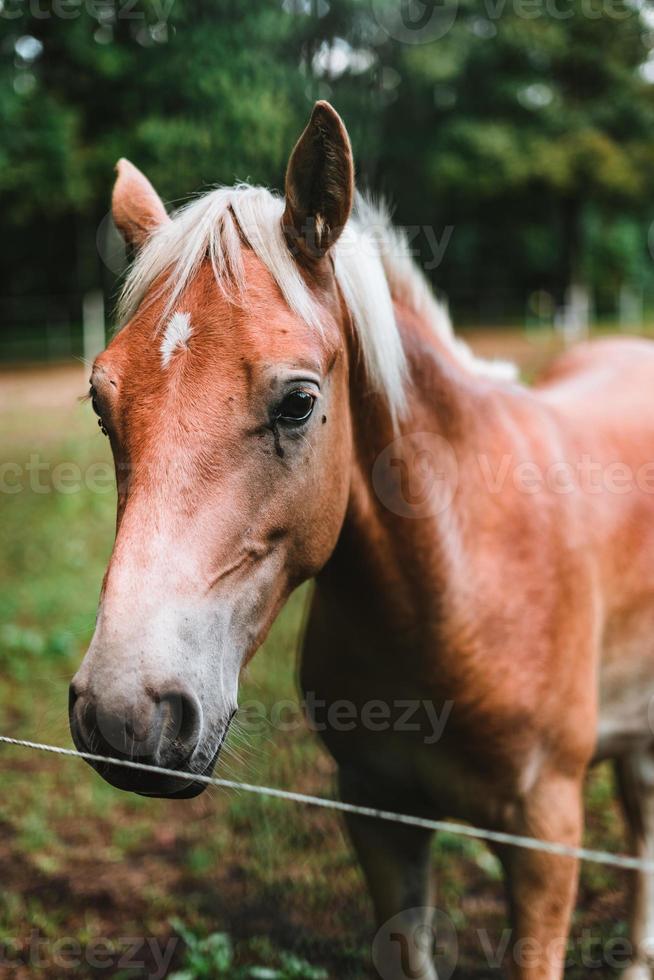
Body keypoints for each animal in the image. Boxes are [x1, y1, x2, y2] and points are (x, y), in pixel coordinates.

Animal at [68, 103, 654, 976]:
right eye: (103, 404)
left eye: (299, 402)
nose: (123, 714)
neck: (454, 582)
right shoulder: (378, 816)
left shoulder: (546, 838)